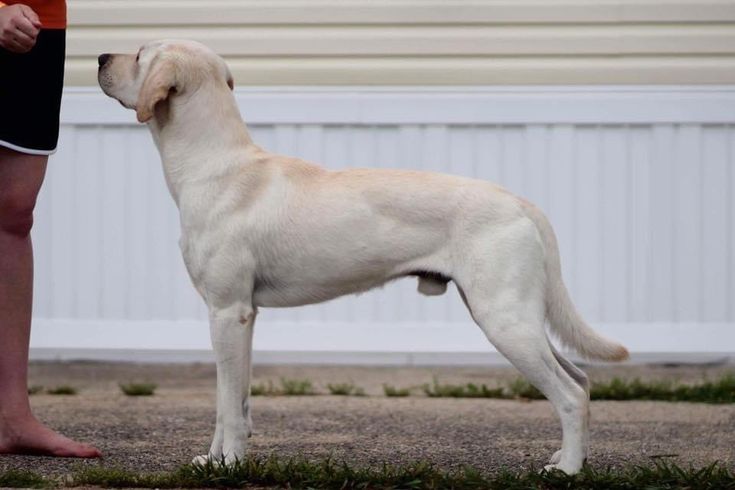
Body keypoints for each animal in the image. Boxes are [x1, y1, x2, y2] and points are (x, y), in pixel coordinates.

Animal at [96, 40, 628, 472]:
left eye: (139, 55)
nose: (99, 57)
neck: (214, 166)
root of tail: (521, 202)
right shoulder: (241, 317)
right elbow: (235, 404)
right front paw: (213, 460)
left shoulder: (228, 312)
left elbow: (228, 407)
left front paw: (227, 467)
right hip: (519, 317)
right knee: (581, 380)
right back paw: (568, 457)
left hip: (505, 319)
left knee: (569, 394)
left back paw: (567, 471)